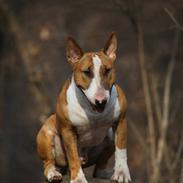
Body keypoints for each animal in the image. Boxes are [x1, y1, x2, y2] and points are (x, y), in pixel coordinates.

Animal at [36, 33, 131, 183]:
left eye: (107, 70)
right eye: (87, 72)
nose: (101, 101)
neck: (92, 111)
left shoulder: (121, 121)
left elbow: (121, 149)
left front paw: (121, 173)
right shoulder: (67, 130)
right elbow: (73, 155)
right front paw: (78, 179)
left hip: (109, 136)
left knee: (98, 170)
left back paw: (108, 173)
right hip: (46, 133)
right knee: (48, 163)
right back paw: (53, 173)